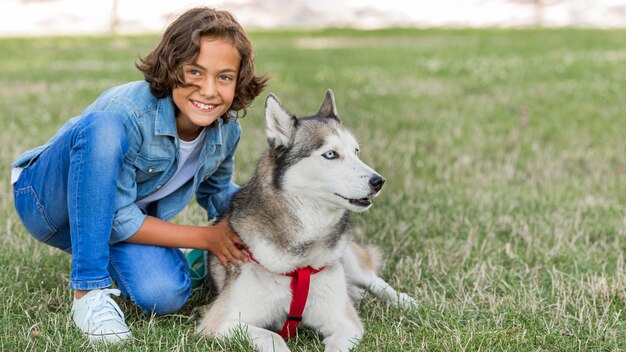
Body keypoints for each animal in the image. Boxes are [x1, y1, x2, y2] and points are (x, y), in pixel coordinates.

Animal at [199, 91, 414, 352]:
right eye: (331, 154)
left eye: (356, 151)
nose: (378, 181)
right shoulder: (219, 322)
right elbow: (274, 337)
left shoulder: (346, 323)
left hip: (349, 260)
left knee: (374, 280)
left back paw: (406, 301)